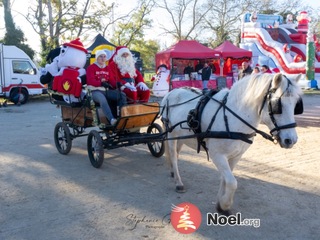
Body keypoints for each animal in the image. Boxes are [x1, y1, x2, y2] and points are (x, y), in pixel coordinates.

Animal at [160, 72, 302, 214]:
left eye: (296, 104)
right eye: (278, 105)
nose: (291, 140)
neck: (233, 117)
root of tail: (171, 92)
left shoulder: (236, 155)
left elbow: (226, 179)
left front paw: (220, 203)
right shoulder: (217, 155)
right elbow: (232, 182)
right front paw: (225, 204)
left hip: (182, 137)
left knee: (176, 154)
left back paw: (173, 172)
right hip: (171, 134)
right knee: (173, 156)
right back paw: (178, 182)